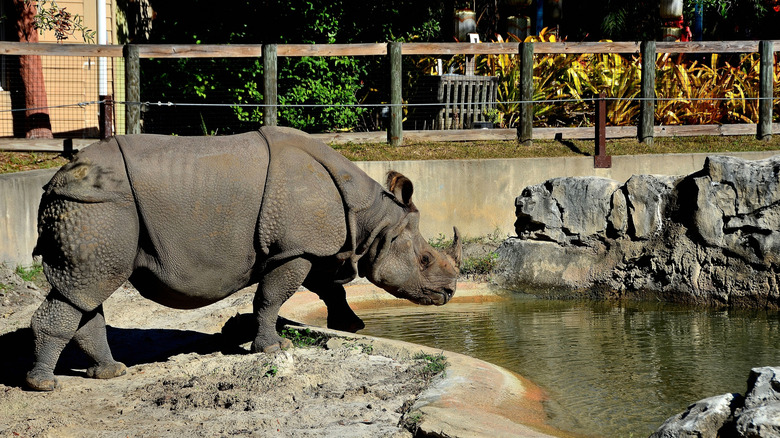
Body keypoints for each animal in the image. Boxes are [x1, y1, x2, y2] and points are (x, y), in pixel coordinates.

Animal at [27, 126, 461, 391]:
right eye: (425, 259)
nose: (451, 293)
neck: (372, 217)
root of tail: (54, 180)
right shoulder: (294, 248)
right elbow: (271, 297)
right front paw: (273, 349)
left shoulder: (312, 245)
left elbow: (328, 290)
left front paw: (352, 326)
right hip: (98, 207)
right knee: (86, 286)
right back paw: (44, 385)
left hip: (95, 207)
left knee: (85, 291)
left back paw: (110, 373)